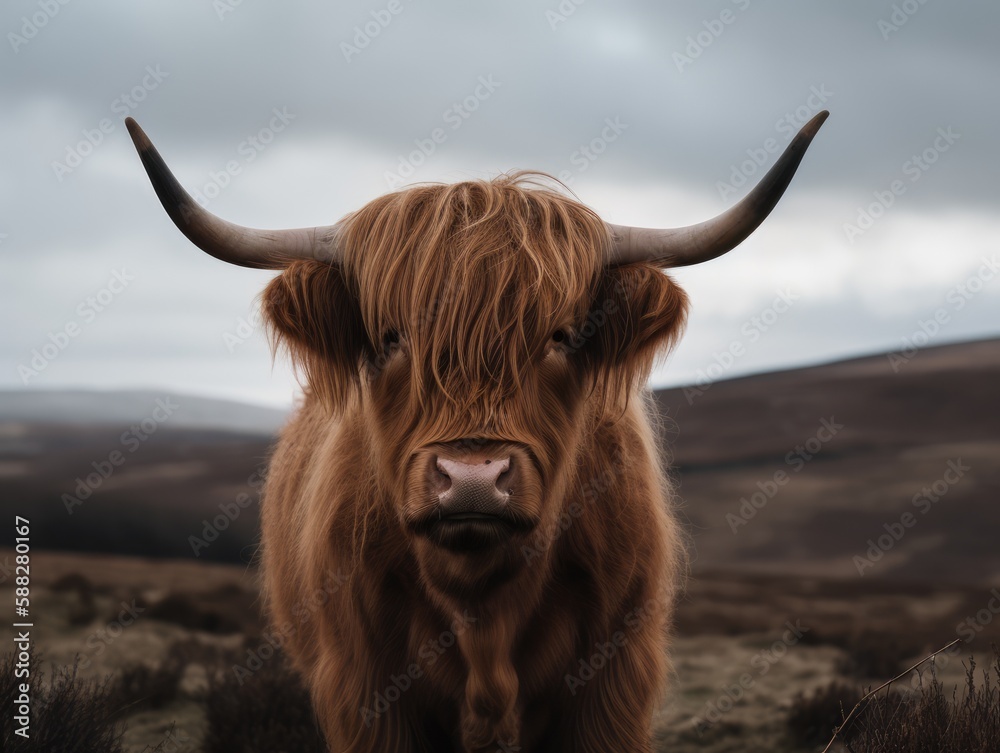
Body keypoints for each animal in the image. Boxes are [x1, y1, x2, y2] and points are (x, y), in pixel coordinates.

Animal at [126, 111, 827, 753]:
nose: (472, 480)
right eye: (391, 338)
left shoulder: (613, 685)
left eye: (561, 336)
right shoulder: (365, 688)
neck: (483, 608)